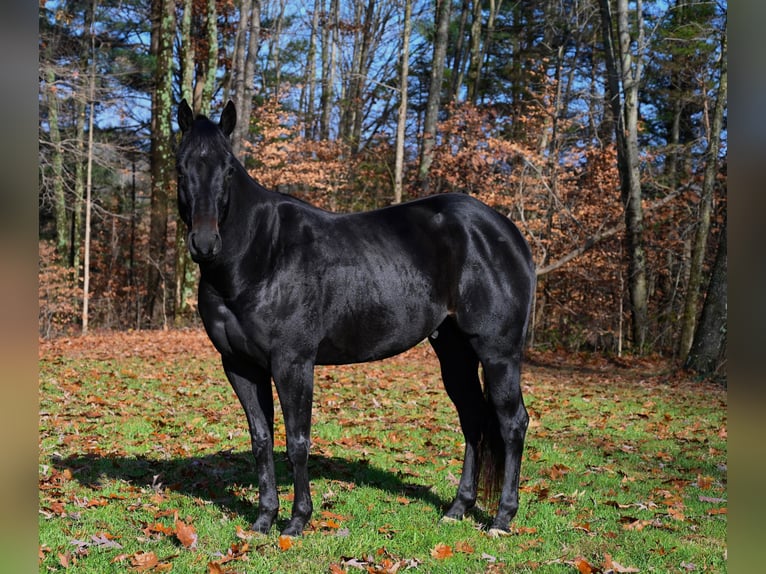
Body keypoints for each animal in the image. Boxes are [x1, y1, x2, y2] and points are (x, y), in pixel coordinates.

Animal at [175, 99, 536, 538]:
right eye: (181, 167)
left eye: (228, 169)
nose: (205, 243)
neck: (259, 254)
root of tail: (506, 232)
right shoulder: (241, 366)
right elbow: (262, 440)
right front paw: (263, 519)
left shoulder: (293, 363)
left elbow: (297, 441)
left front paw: (297, 521)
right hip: (454, 353)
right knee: (473, 420)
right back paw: (457, 509)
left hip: (498, 354)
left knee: (512, 423)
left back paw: (502, 518)